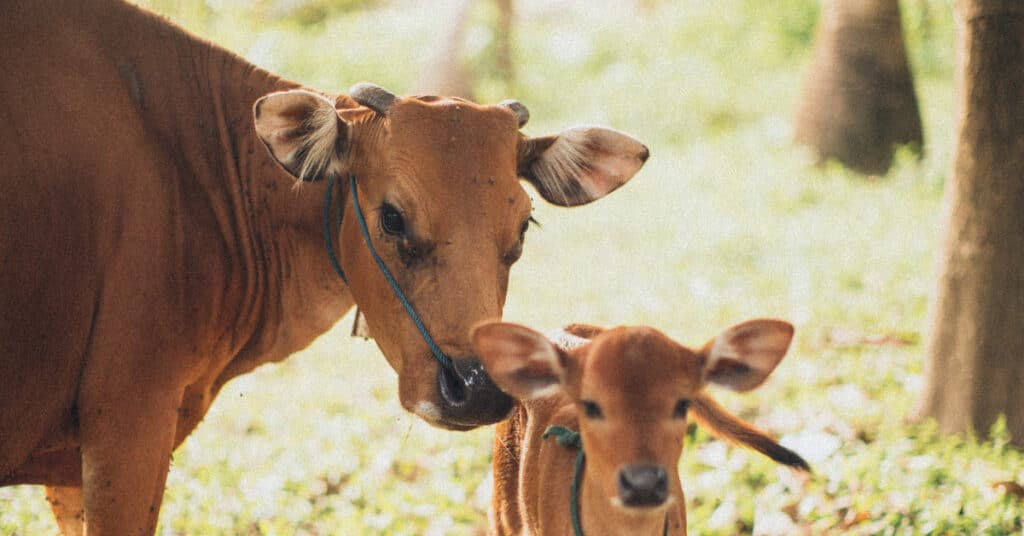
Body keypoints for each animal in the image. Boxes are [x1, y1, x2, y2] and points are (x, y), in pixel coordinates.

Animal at [0, 2, 647, 532]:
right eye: (392, 218)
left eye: (522, 227)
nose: (479, 391)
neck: (195, 167)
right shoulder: (127, 427)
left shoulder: (72, 467)